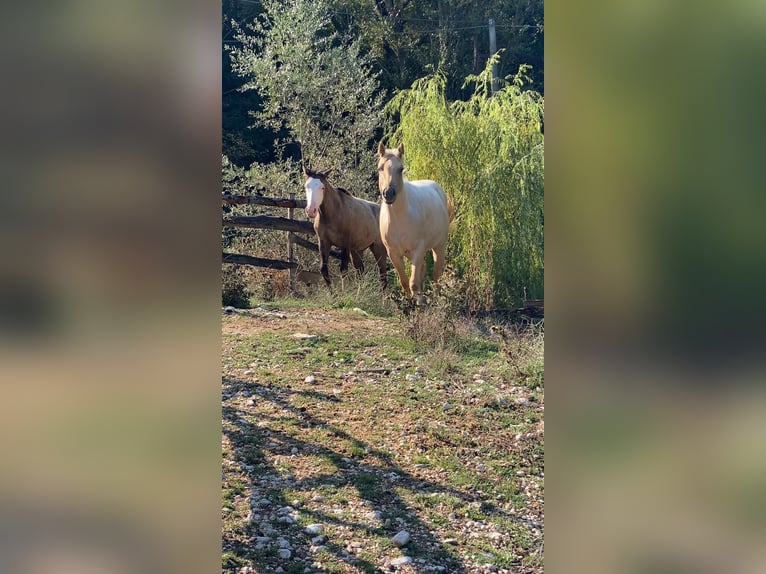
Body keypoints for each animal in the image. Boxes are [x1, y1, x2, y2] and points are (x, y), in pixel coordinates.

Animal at [376, 143, 452, 306]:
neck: (399, 218)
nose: (389, 193)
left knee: (436, 275)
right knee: (423, 269)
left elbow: (413, 283)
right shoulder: (393, 253)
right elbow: (405, 281)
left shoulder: (417, 249)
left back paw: (435, 300)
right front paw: (410, 302)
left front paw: (419, 303)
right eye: (380, 168)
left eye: (401, 169)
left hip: (439, 247)